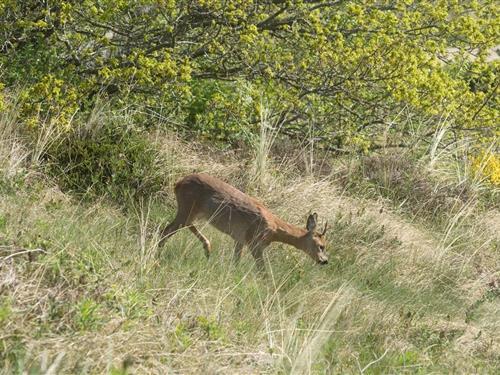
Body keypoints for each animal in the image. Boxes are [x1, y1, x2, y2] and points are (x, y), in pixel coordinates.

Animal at [160, 173, 328, 270]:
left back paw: (207, 248)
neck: (275, 230)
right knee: (167, 230)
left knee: (182, 226)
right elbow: (262, 270)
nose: (325, 261)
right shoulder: (254, 242)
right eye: (321, 246)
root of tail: (178, 183)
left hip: (194, 211)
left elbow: (236, 261)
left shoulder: (239, 239)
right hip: (188, 207)